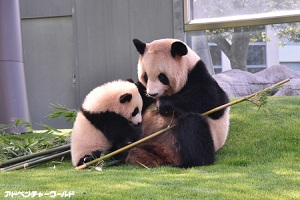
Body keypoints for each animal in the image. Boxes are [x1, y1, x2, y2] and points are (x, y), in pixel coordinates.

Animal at [125, 38, 230, 168]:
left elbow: (214, 101)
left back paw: (194, 162)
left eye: (162, 77)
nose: (152, 94)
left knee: (193, 125)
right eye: (146, 77)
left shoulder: (199, 76)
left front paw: (163, 104)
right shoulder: (142, 93)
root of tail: (163, 155)